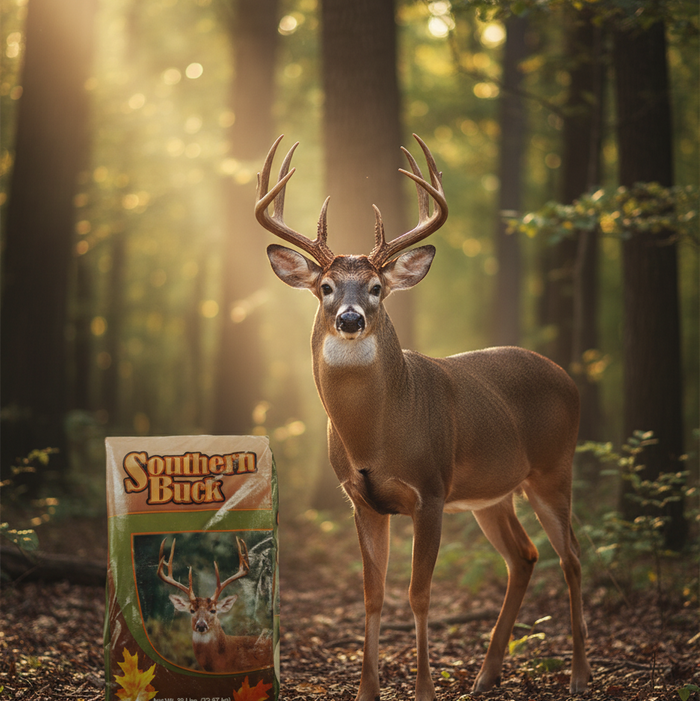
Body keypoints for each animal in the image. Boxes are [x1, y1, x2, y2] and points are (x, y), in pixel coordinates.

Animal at [255, 134, 592, 700]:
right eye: (326, 287)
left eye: (376, 287)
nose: (350, 319)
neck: (376, 434)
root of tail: (567, 377)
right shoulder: (360, 498)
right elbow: (371, 594)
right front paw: (366, 690)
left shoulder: (430, 491)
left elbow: (418, 593)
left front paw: (425, 689)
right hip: (492, 493)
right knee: (524, 555)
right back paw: (486, 675)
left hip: (554, 468)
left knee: (571, 556)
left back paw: (580, 675)